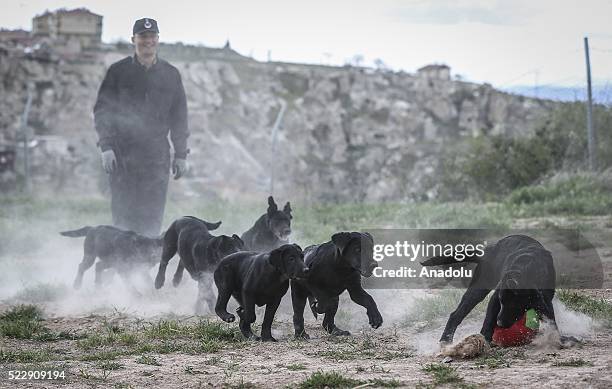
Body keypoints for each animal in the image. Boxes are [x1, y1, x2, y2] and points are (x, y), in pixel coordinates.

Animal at [420, 235, 564, 344]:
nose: (499, 323)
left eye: (516, 306)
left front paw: (557, 337)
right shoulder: (496, 298)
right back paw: (445, 340)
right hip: (477, 290)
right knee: (456, 314)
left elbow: (551, 318)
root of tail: (488, 250)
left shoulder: (545, 299)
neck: (526, 270)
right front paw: (485, 339)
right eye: (502, 302)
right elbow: (489, 319)